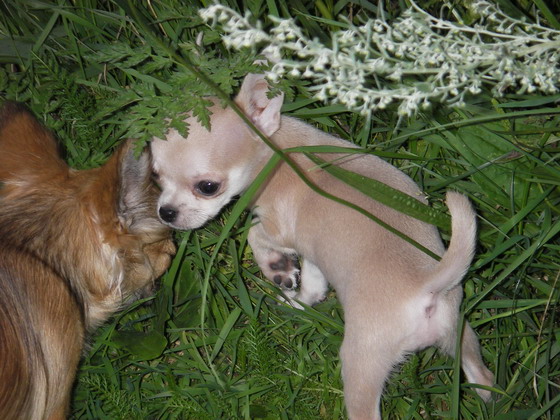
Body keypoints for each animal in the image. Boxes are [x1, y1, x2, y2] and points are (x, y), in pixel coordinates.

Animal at [150, 73, 494, 420]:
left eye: (207, 187)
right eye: (155, 176)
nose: (166, 213)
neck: (277, 148)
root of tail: (427, 285)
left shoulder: (280, 229)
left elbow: (255, 235)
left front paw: (276, 267)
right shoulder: (313, 252)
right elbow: (314, 285)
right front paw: (297, 295)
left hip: (362, 361)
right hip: (458, 330)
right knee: (479, 369)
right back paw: (490, 395)